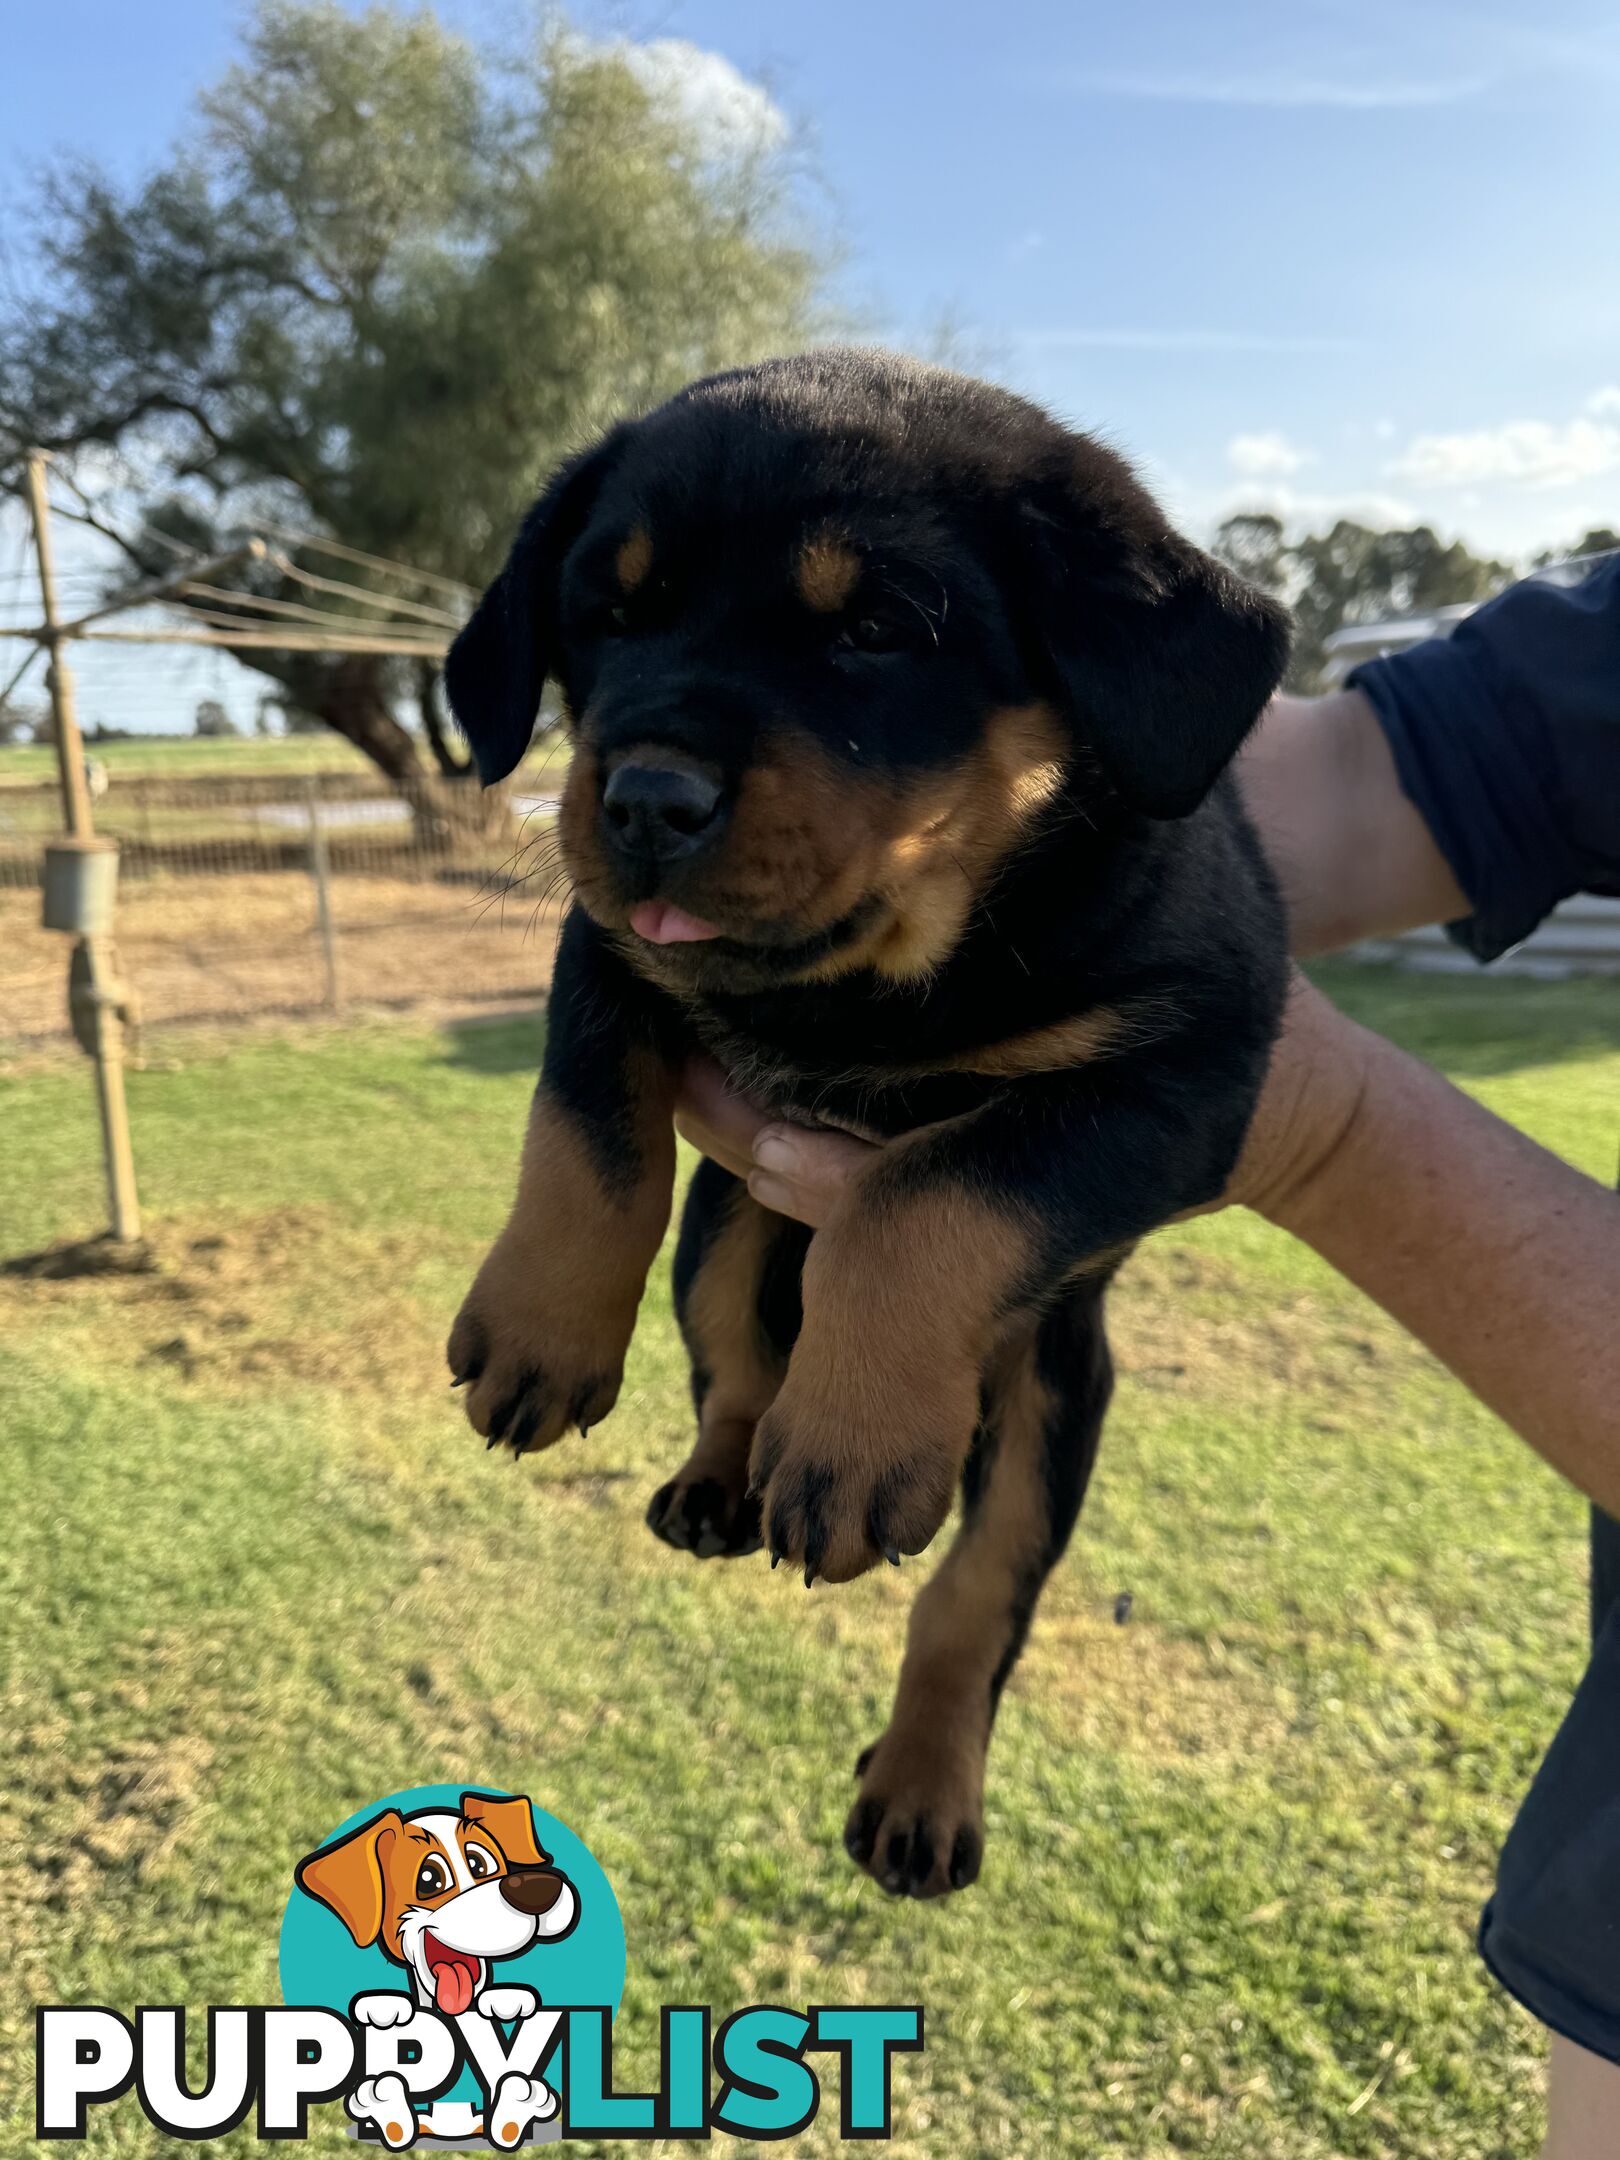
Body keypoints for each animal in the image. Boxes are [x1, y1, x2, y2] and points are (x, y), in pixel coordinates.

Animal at [444, 345, 1296, 1900]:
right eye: (610, 614)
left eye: (882, 630)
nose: (641, 798)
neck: (874, 991)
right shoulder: (606, 948)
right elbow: (587, 1125)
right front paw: (538, 1329)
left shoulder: (1186, 1076)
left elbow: (929, 1196)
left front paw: (855, 1429)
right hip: (725, 1232)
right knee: (734, 1363)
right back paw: (717, 1487)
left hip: (1051, 1400)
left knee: (973, 1597)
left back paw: (921, 1788)